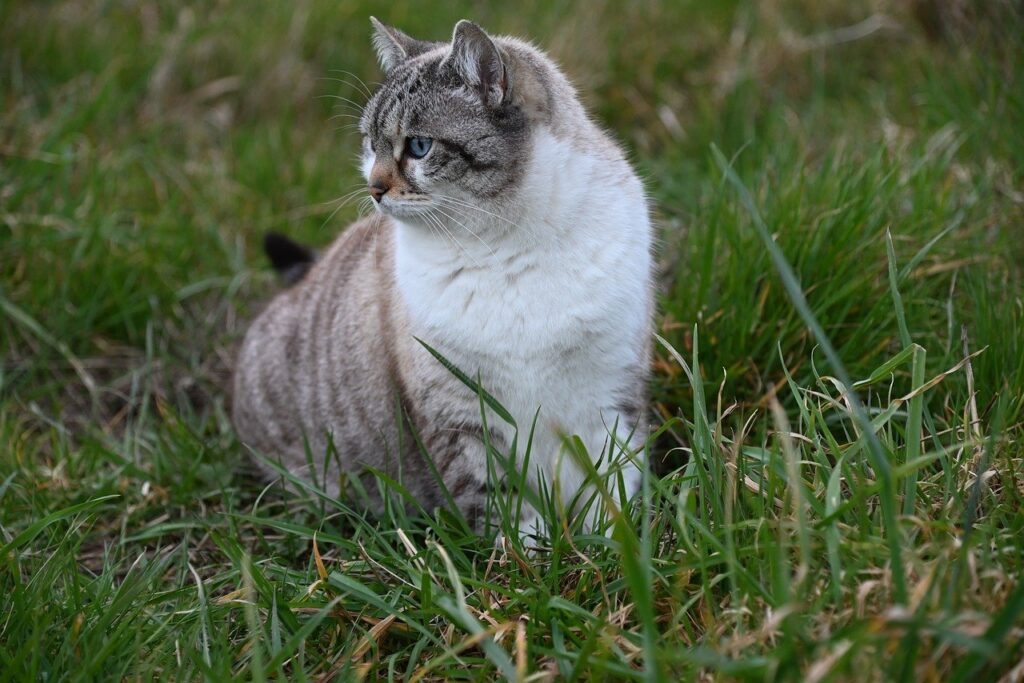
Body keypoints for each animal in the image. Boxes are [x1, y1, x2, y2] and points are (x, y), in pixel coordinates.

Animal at [232, 17, 651, 544]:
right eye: (369, 144)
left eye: (418, 146)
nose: (373, 188)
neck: (506, 246)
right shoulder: (462, 415)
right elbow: (506, 512)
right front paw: (526, 558)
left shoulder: (610, 390)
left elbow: (612, 492)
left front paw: (612, 549)